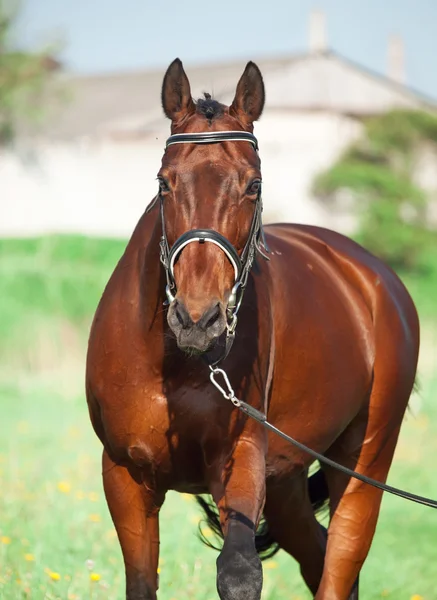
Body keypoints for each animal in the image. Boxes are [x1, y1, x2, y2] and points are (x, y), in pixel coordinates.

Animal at [84, 57, 418, 600]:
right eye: (164, 182)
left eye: (253, 185)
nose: (198, 319)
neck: (176, 365)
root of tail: (372, 277)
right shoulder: (125, 475)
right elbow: (141, 580)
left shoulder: (240, 459)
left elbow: (240, 572)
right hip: (286, 482)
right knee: (318, 555)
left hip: (364, 464)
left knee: (341, 557)